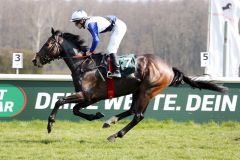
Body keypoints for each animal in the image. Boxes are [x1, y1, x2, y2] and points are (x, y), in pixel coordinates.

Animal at [32, 28, 228, 142]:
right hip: (138, 90)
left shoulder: (86, 95)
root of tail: (169, 68)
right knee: (133, 110)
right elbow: (75, 110)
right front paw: (97, 115)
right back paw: (110, 121)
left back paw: (115, 135)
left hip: (148, 91)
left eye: (48, 44)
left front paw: (50, 124)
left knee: (138, 116)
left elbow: (59, 100)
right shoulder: (89, 98)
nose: (35, 60)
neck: (84, 65)